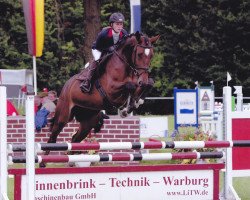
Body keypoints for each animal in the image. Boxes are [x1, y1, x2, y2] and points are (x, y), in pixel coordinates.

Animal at [39, 31, 159, 166]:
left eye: (151, 55)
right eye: (139, 54)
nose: (143, 80)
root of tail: (66, 86)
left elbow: (147, 84)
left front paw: (135, 103)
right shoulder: (111, 90)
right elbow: (130, 85)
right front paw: (126, 109)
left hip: (88, 121)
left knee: (75, 138)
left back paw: (71, 161)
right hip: (63, 115)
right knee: (53, 136)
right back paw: (43, 162)